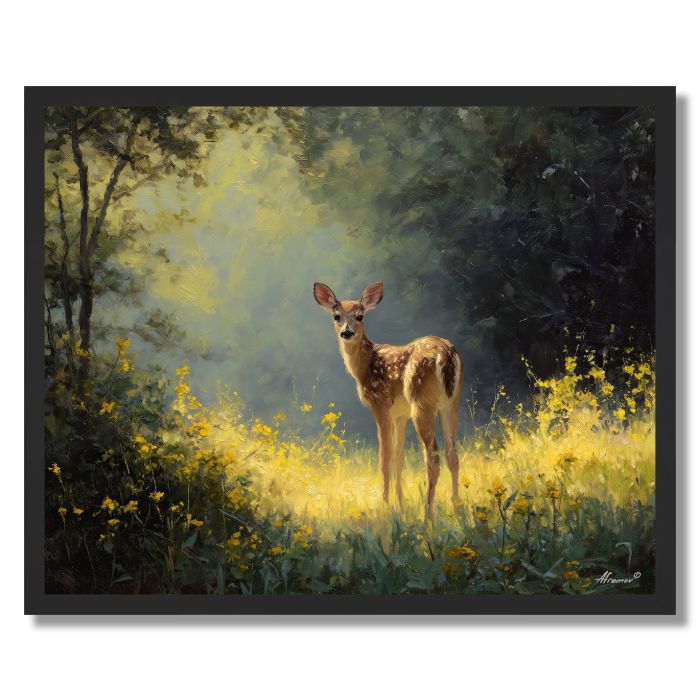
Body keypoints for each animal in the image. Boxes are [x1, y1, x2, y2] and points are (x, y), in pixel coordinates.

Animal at [313, 282, 464, 519]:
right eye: (336, 316)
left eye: (360, 316)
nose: (347, 332)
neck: (364, 366)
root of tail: (447, 354)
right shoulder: (399, 415)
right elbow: (398, 459)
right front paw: (401, 506)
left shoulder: (380, 404)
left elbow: (384, 459)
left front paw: (384, 505)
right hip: (451, 402)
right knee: (453, 454)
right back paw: (458, 507)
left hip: (421, 402)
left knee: (433, 458)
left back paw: (427, 514)